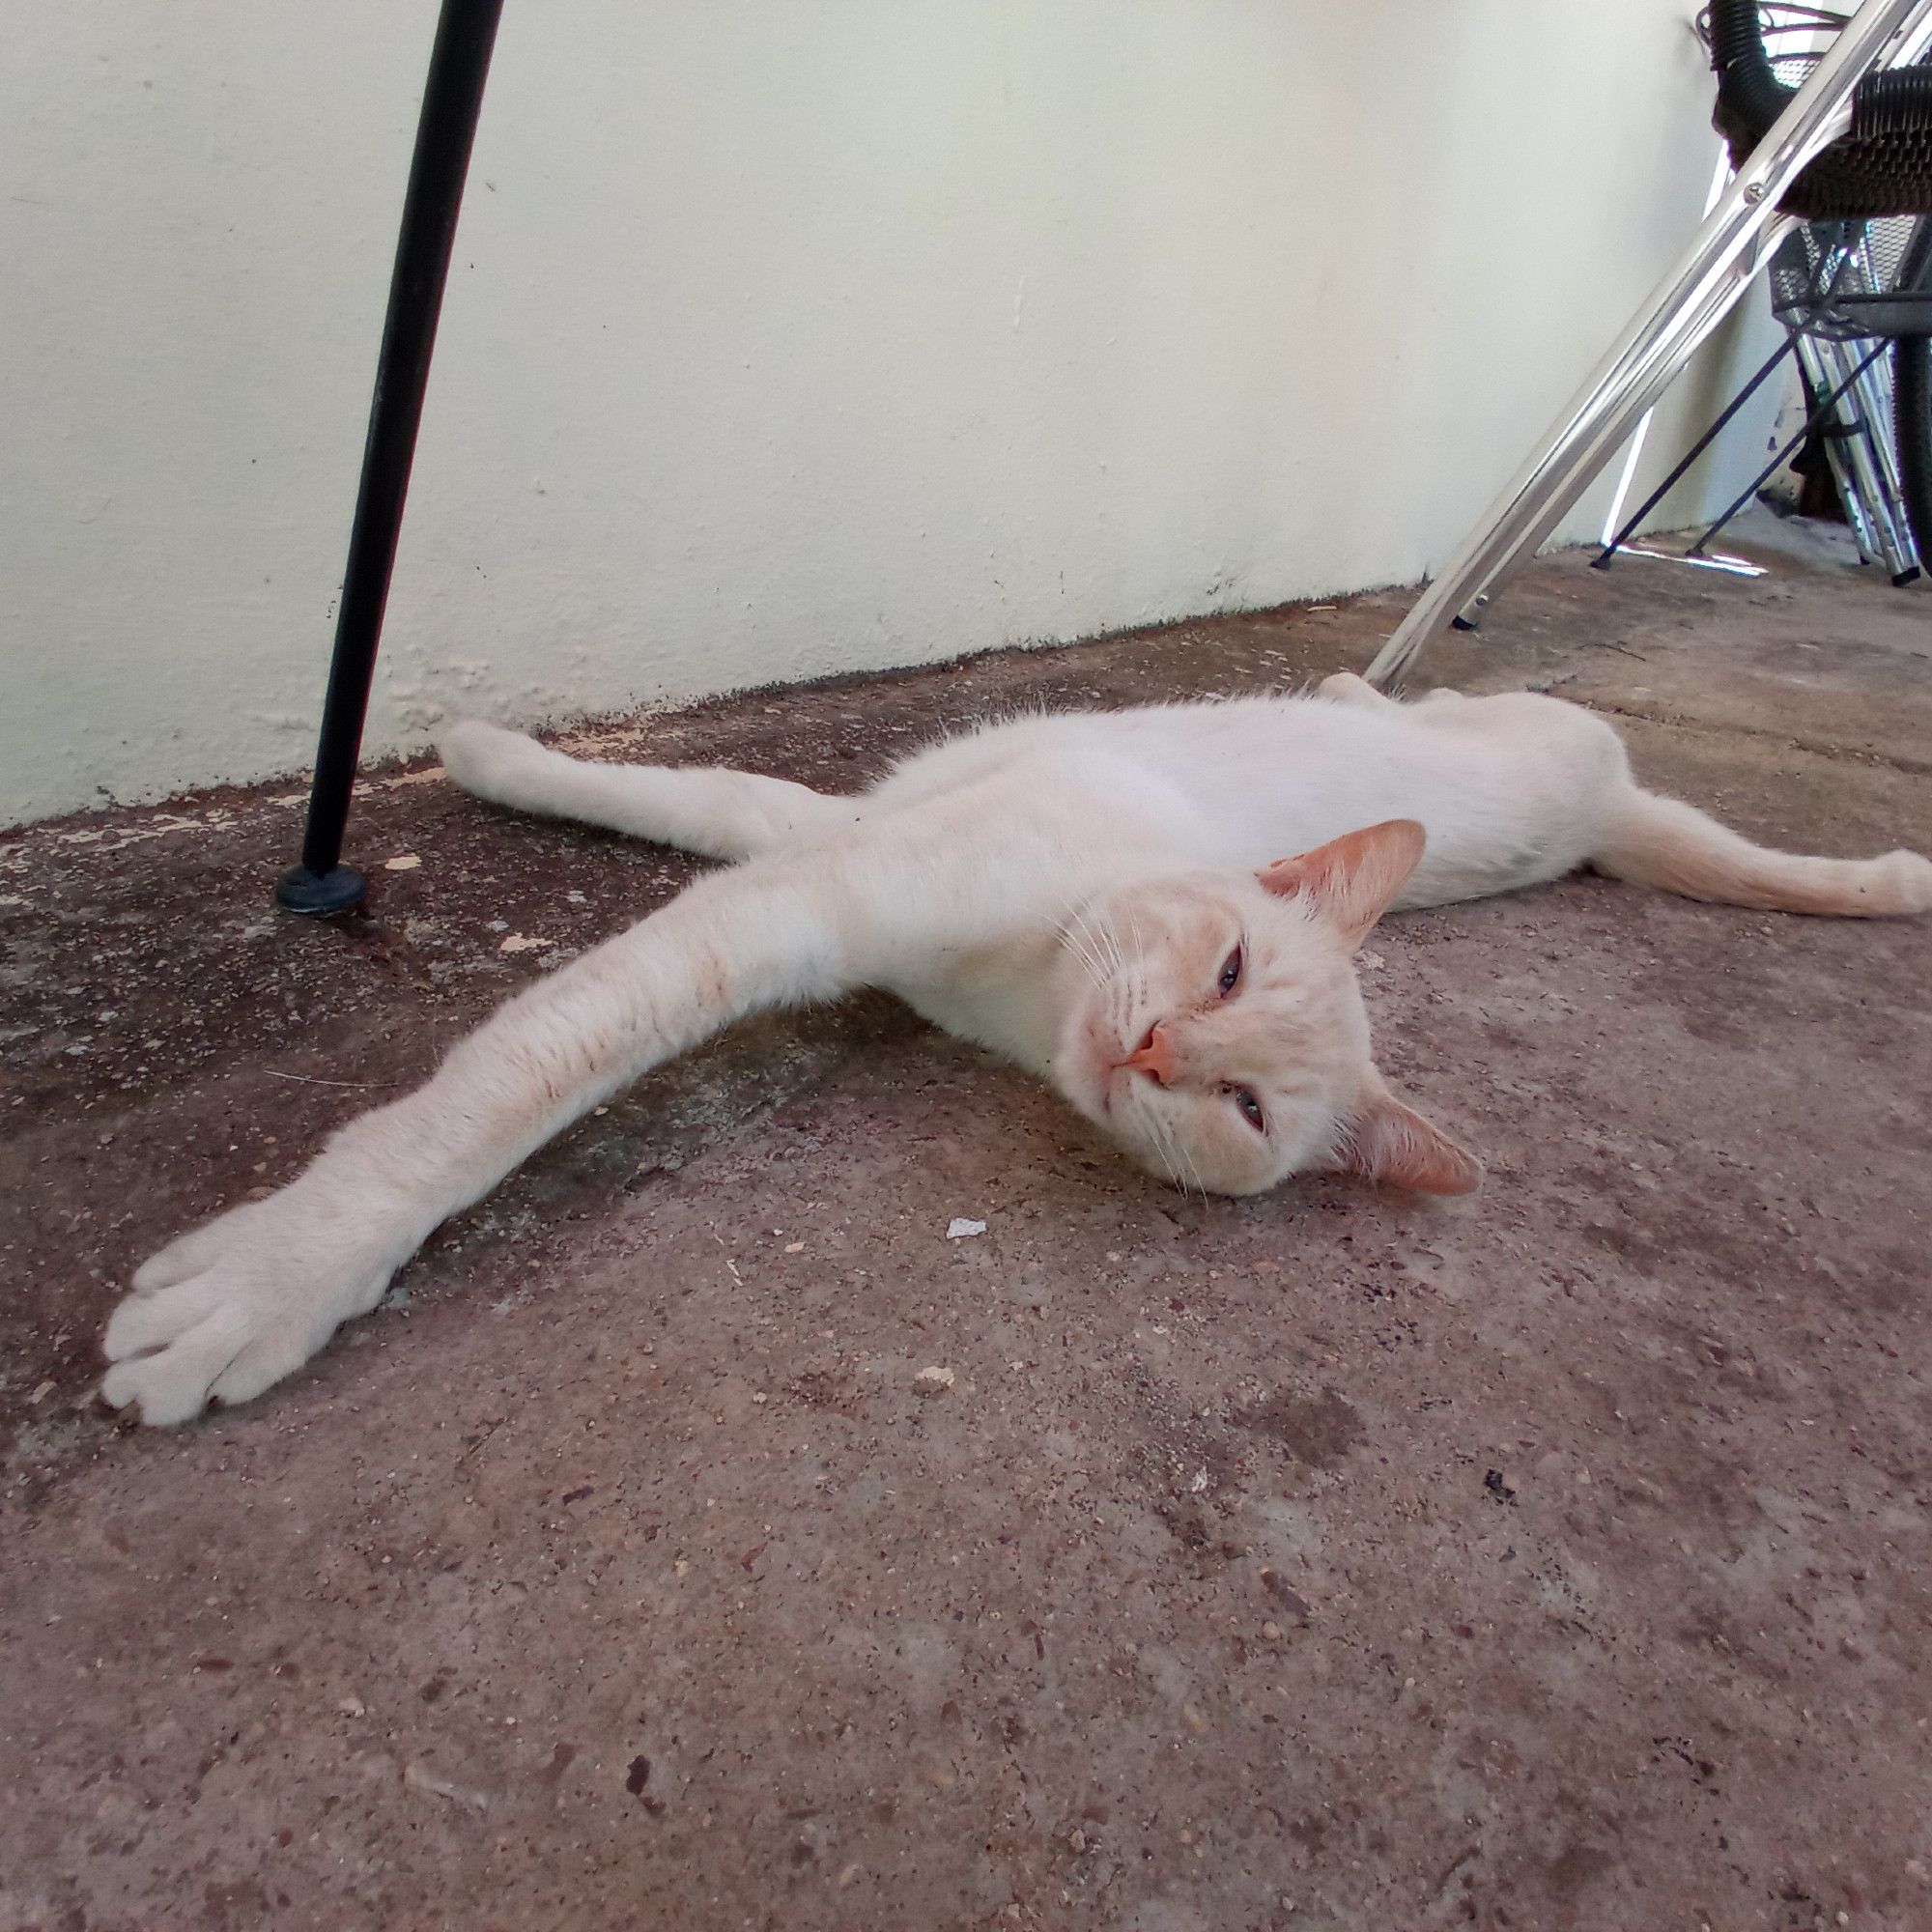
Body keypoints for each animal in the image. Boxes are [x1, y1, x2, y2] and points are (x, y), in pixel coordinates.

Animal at [101, 672, 1932, 1430]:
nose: (1155, 1050)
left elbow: (547, 1032)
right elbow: (602, 900)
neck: (1025, 982)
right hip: (1518, 747)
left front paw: (265, 1287)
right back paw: (1363, 668)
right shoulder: (826, 865)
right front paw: (482, 757)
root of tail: (1599, 813)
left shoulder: (823, 879)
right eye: (1228, 961)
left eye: (1244, 1104)